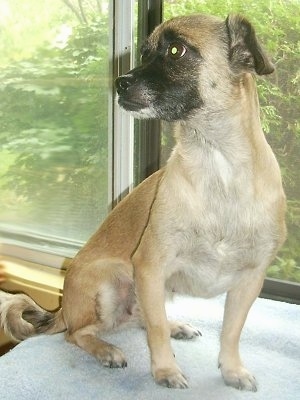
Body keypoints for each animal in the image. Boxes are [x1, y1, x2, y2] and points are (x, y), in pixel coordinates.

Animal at [0, 13, 286, 390]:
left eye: (176, 50)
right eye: (145, 53)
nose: (119, 82)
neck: (217, 169)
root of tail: (63, 309)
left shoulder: (248, 282)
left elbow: (230, 332)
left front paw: (232, 370)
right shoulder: (150, 268)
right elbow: (156, 330)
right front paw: (165, 370)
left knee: (141, 319)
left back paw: (175, 326)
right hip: (113, 280)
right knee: (79, 333)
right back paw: (106, 350)